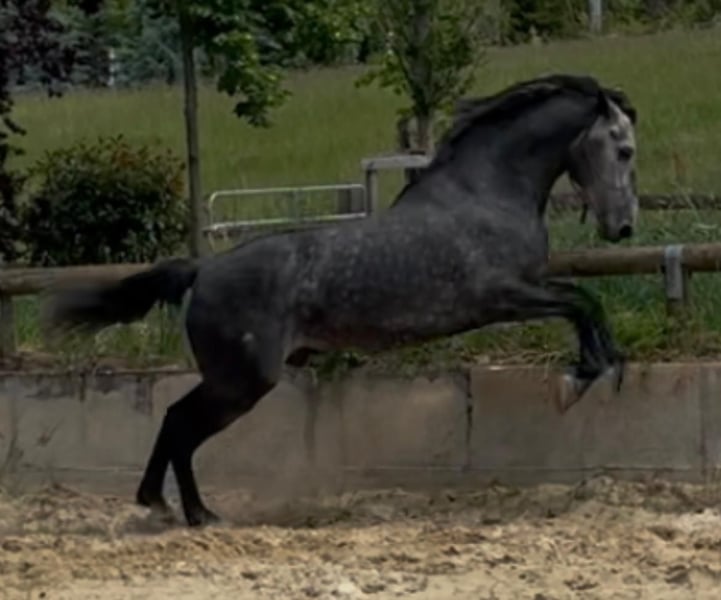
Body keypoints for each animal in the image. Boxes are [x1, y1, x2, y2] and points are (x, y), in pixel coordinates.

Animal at [44, 73, 639, 527]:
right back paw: (188, 512)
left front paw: (603, 369)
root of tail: (203, 269)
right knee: (181, 425)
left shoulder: (519, 294)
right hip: (242, 381)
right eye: (625, 149)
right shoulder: (501, 296)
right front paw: (579, 379)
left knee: (175, 421)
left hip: (235, 379)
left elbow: (585, 302)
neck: (486, 194)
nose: (624, 227)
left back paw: (171, 507)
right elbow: (582, 302)